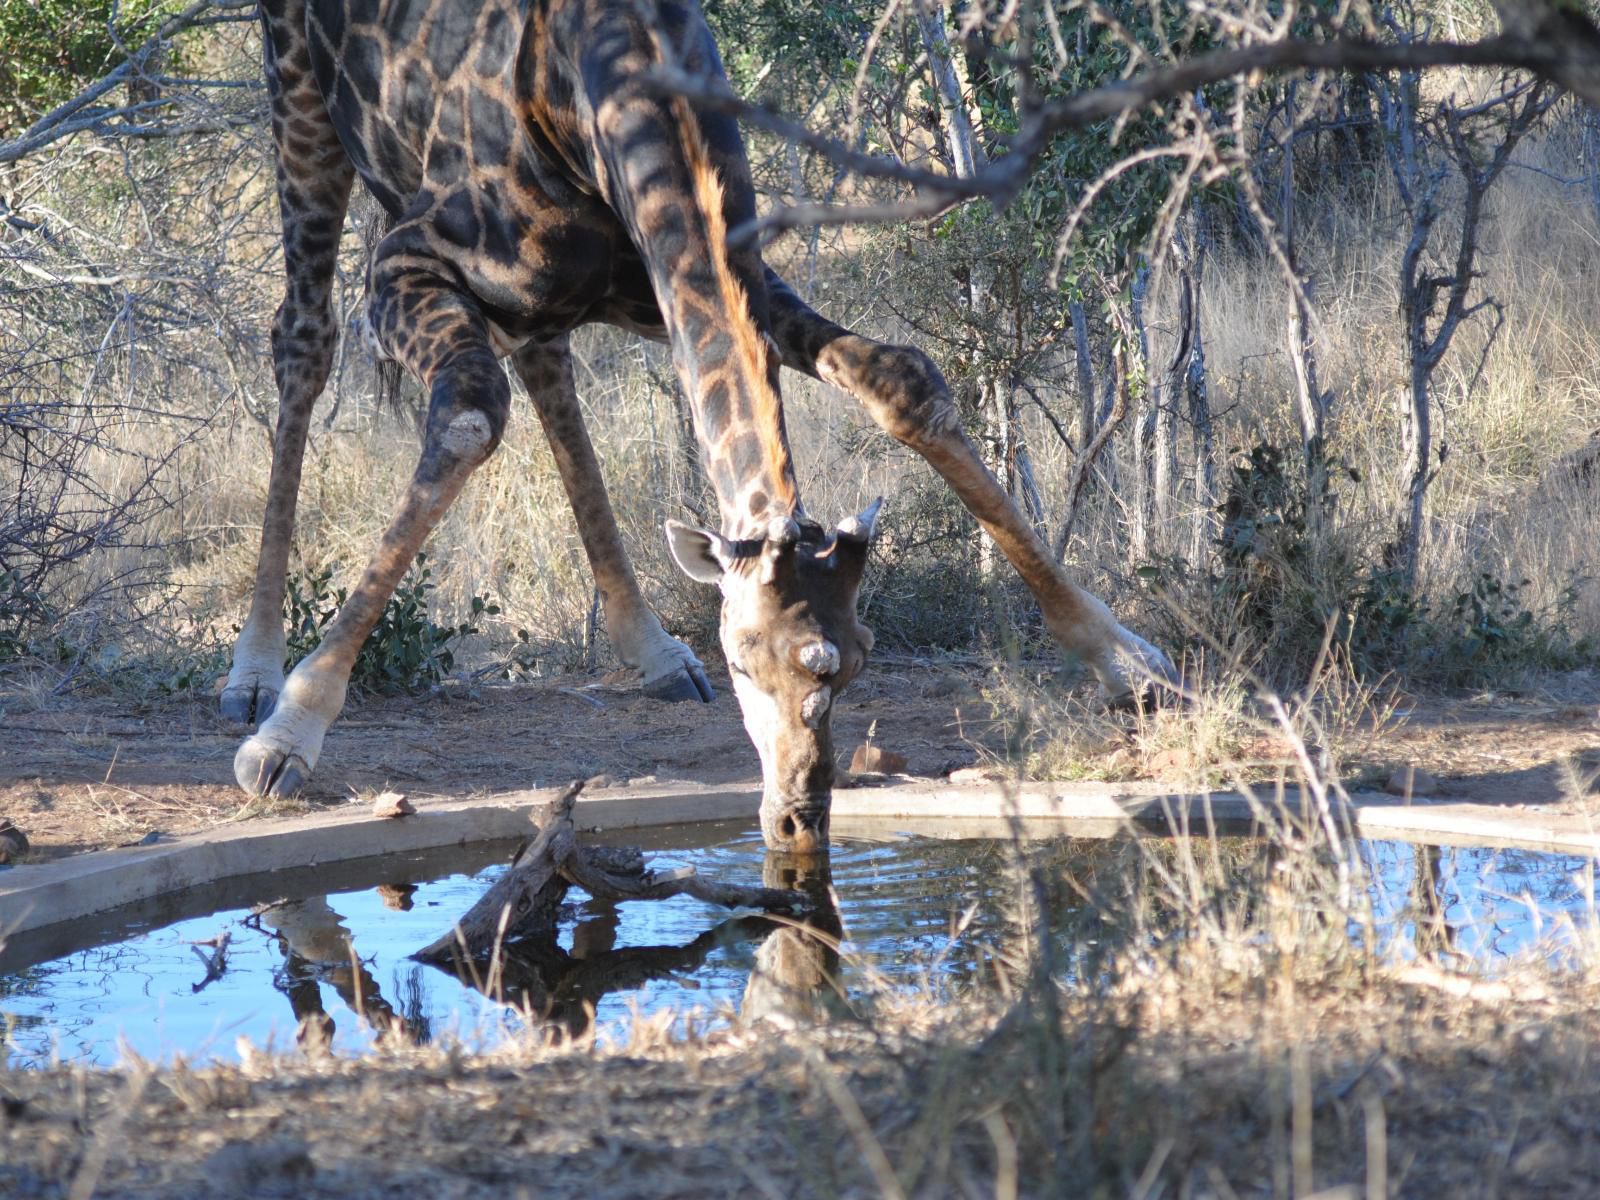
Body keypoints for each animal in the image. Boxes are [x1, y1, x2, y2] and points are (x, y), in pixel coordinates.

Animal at [225, 0, 1177, 857]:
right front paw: (288, 735)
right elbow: (467, 420)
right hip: (298, 95)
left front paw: (1127, 660)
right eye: (746, 657)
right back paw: (253, 675)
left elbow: (902, 381)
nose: (797, 818)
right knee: (303, 337)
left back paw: (650, 652)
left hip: (541, 293)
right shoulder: (408, 261)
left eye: (862, 655)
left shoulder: (706, 274)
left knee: (545, 363)